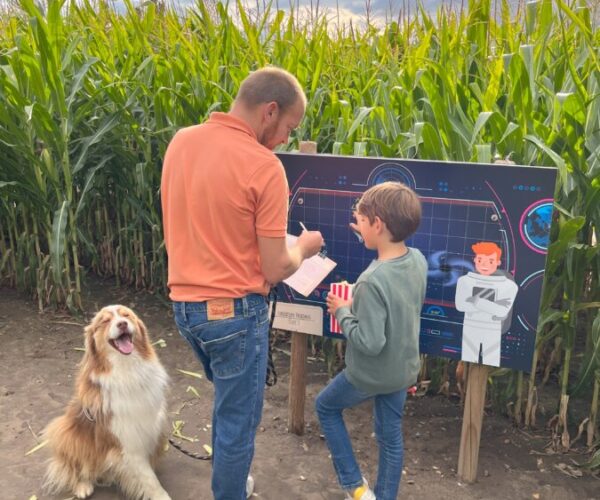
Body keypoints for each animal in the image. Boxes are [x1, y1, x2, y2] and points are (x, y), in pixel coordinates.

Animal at [43, 304, 170, 500]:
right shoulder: (128, 442)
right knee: (74, 467)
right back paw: (82, 485)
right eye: (105, 321)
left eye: (127, 316)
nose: (122, 324)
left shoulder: (152, 428)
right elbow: (149, 479)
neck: (127, 370)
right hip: (64, 431)